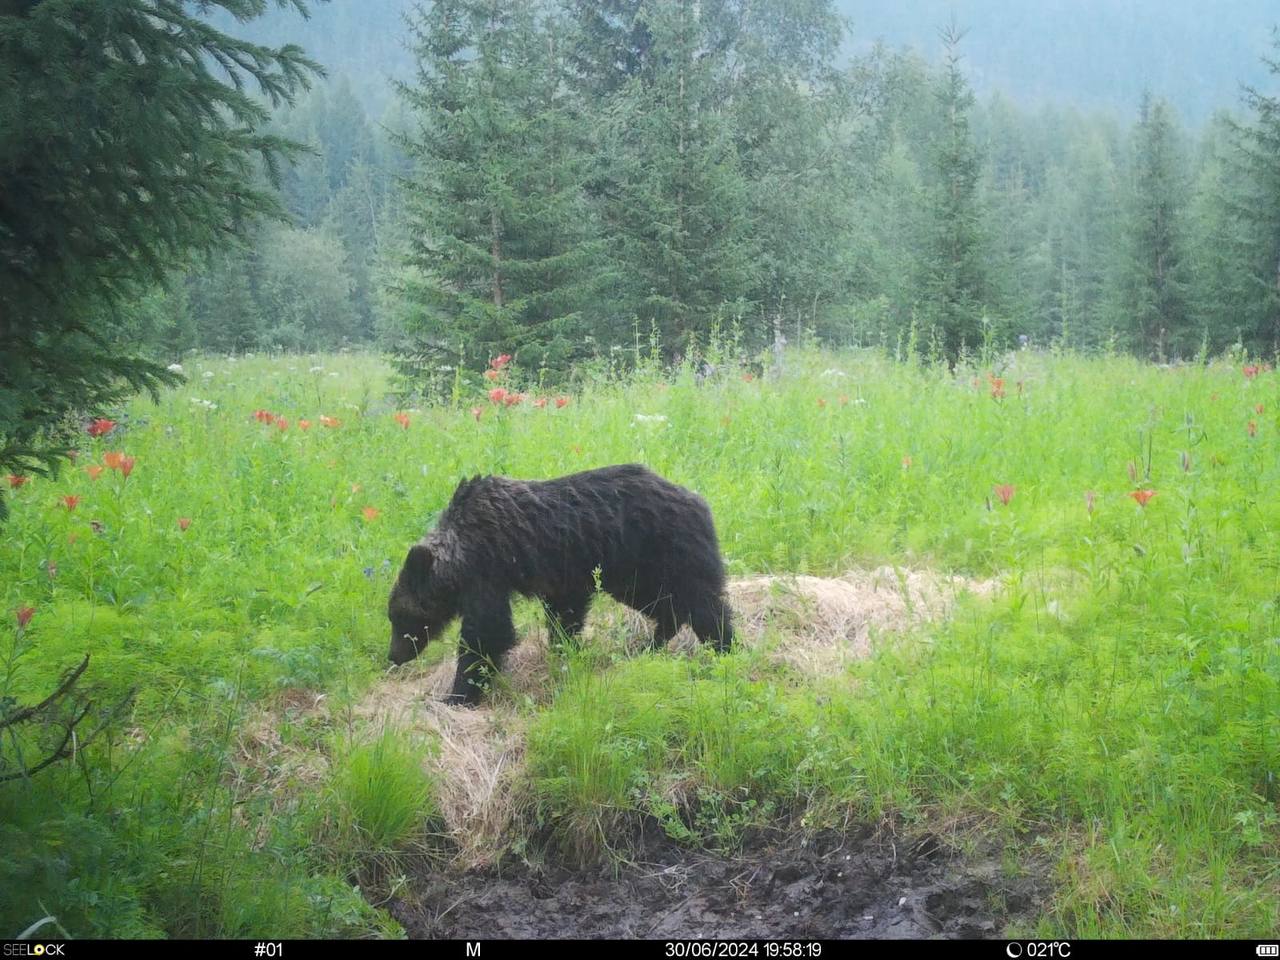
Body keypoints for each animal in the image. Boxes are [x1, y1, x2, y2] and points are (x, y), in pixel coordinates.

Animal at [384, 465, 737, 706]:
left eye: (400, 617)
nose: (394, 656)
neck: (459, 552)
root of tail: (698, 498)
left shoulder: (487, 572)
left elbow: (487, 633)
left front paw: (458, 694)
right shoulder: (563, 577)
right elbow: (564, 615)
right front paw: (564, 651)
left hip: (666, 551)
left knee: (703, 603)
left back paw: (725, 648)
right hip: (632, 573)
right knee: (665, 605)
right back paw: (647, 646)